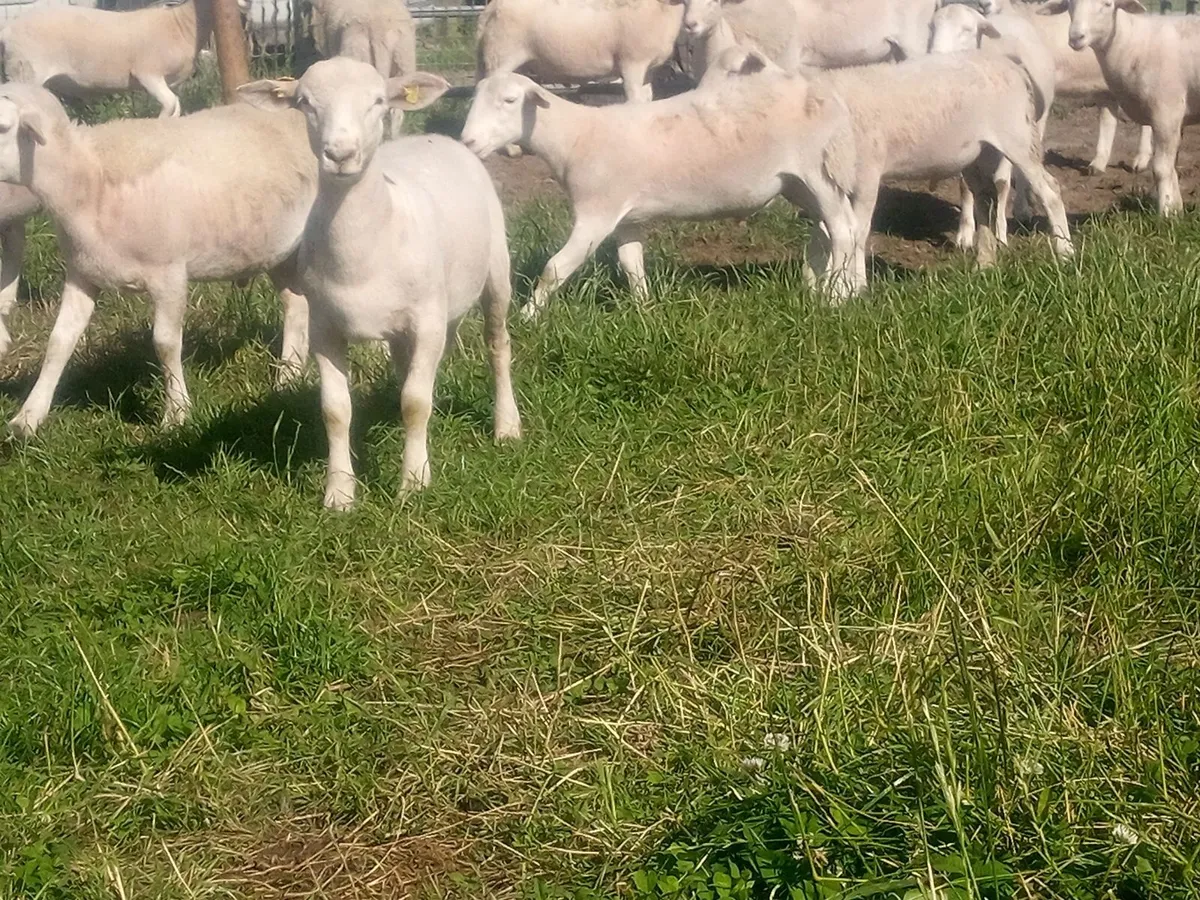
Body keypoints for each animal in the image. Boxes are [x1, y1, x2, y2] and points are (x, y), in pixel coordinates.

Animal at [0, 0, 214, 118]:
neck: (181, 24)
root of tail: (7, 30)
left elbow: (176, 105)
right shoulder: (147, 73)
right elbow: (169, 103)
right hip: (25, 72)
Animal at [0, 83, 317, 438]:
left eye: (4, 127)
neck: (89, 179)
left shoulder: (170, 274)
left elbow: (165, 343)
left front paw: (176, 414)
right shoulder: (82, 274)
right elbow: (59, 341)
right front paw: (28, 417)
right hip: (281, 251)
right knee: (296, 304)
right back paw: (288, 377)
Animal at [238, 59, 522, 510]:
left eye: (376, 101)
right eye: (305, 103)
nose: (340, 154)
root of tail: (438, 138)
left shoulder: (426, 319)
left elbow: (416, 403)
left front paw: (414, 483)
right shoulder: (324, 329)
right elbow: (335, 410)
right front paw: (339, 494)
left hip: (495, 271)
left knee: (498, 346)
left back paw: (507, 426)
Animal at [459, 59, 863, 320]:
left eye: (510, 101)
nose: (468, 142)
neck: (574, 138)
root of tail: (828, 94)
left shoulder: (596, 212)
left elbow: (555, 267)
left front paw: (528, 316)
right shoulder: (626, 216)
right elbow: (631, 263)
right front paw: (644, 309)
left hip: (819, 170)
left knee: (843, 230)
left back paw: (836, 297)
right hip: (796, 183)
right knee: (830, 229)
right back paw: (820, 287)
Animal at [1044, 0, 1198, 214]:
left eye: (1108, 4)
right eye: (1069, 4)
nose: (1076, 37)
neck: (1133, 44)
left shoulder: (1167, 112)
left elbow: (1161, 168)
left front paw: (1166, 213)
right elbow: (1171, 166)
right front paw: (1177, 210)